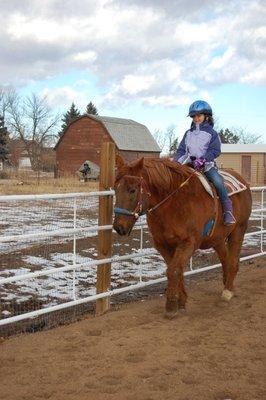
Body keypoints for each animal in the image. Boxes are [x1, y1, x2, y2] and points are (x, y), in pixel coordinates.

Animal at [113, 155, 252, 318]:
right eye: (115, 188)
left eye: (132, 190)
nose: (118, 227)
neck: (174, 204)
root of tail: (242, 180)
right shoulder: (162, 244)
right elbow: (175, 269)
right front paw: (181, 301)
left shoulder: (188, 243)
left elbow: (173, 270)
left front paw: (171, 305)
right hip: (217, 239)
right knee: (226, 259)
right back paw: (227, 284)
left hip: (239, 230)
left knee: (234, 261)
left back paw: (228, 292)